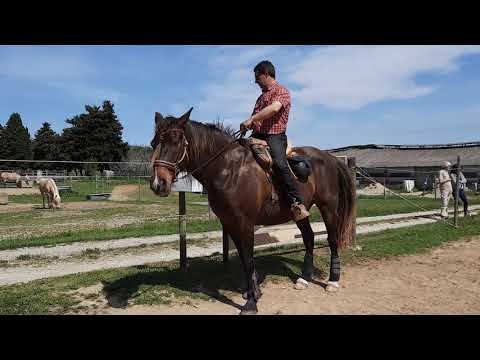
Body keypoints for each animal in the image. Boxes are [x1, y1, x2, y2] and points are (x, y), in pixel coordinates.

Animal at [150, 107, 356, 316]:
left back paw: (332, 281)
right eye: (153, 143)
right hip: (300, 212)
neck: (229, 169)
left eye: (176, 141)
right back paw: (303, 278)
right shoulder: (229, 222)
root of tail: (330, 158)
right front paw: (253, 292)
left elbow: (248, 259)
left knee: (332, 239)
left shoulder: (245, 223)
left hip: (328, 207)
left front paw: (251, 303)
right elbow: (243, 257)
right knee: (309, 237)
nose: (159, 184)